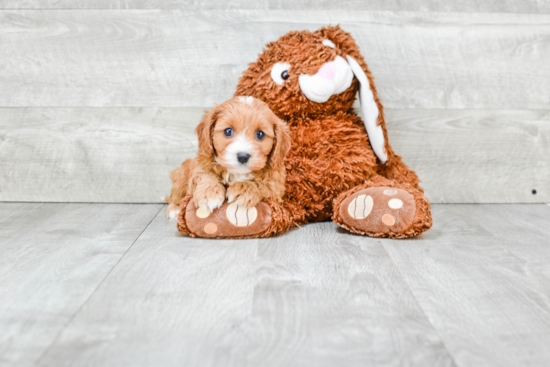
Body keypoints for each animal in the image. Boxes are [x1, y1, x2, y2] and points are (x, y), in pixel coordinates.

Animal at [166, 96, 294, 220]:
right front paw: (209, 193)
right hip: (181, 174)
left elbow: (264, 185)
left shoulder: (277, 187)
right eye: (228, 131)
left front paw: (243, 189)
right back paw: (174, 209)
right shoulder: (200, 166)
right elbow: (206, 175)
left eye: (260, 134)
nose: (243, 156)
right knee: (175, 194)